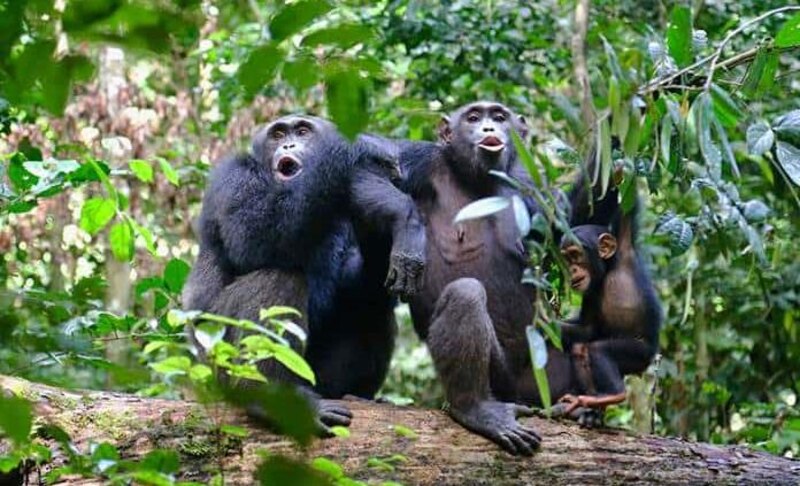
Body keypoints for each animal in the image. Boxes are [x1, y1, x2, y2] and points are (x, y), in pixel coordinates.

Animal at [184, 116, 428, 434]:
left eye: (302, 131)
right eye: (278, 134)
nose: (288, 144)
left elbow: (359, 283)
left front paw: (395, 219)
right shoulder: (231, 178)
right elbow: (253, 235)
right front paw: (362, 145)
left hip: (319, 379)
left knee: (372, 308)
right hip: (218, 361)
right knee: (277, 281)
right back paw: (271, 397)